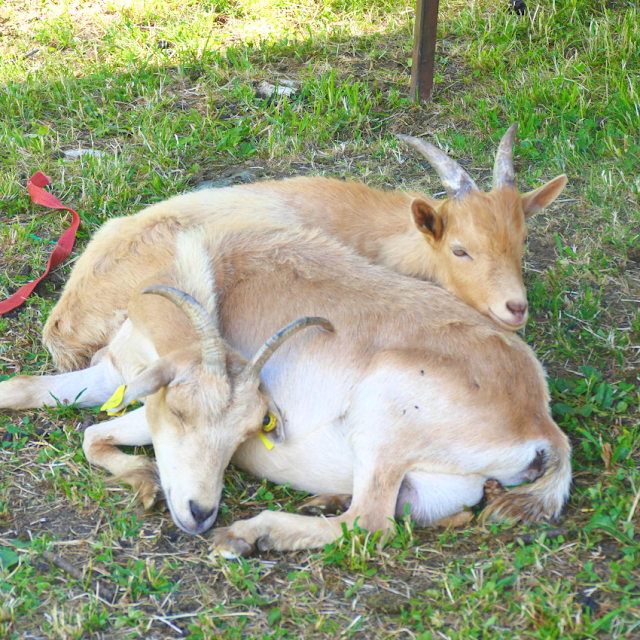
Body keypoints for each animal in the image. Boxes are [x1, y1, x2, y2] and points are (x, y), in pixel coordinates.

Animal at [0, 229, 568, 556]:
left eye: (249, 432)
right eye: (181, 411)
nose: (200, 512)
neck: (216, 271)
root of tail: (542, 428)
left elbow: (96, 432)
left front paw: (145, 480)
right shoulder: (121, 372)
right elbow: (27, 391)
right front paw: (142, 481)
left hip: (386, 414)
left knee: (369, 524)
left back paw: (249, 536)